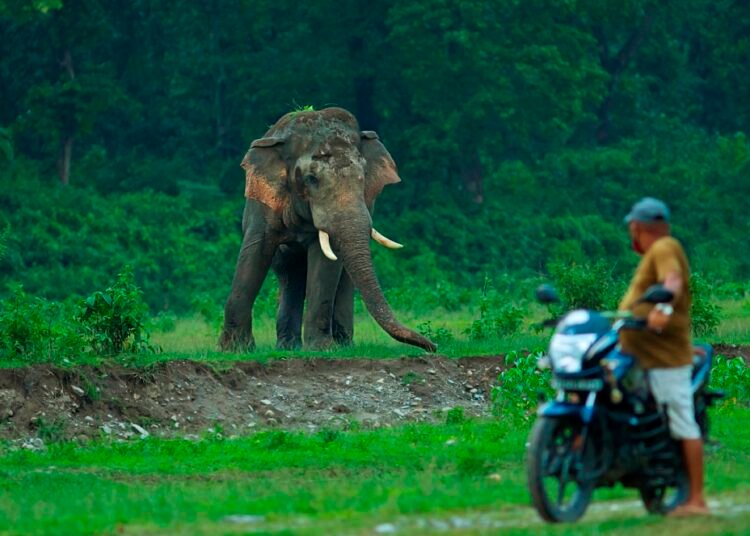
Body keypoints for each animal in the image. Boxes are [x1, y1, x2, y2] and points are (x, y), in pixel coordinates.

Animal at [218, 107, 436, 353]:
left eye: (363, 178)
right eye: (311, 179)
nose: (433, 346)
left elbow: (325, 264)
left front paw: (323, 349)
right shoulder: (262, 203)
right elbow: (254, 253)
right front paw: (235, 350)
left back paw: (342, 345)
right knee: (288, 273)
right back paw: (288, 347)